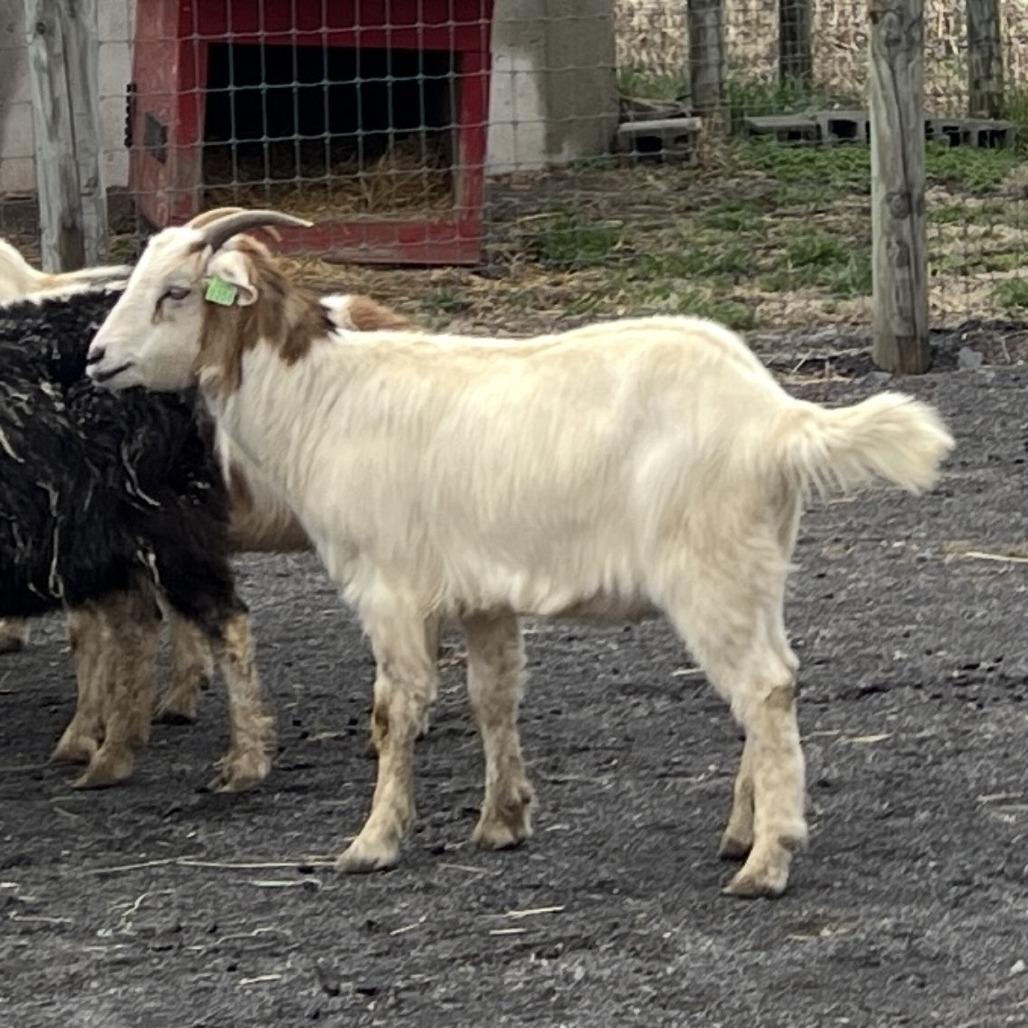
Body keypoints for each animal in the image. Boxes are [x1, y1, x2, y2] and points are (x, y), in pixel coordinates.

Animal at [87, 209, 955, 898]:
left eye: (175, 291)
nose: (96, 358)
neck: (323, 399)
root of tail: (777, 415)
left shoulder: (389, 589)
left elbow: (394, 710)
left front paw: (373, 842)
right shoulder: (481, 593)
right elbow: (493, 698)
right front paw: (503, 821)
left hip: (709, 572)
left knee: (764, 689)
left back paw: (767, 861)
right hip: (756, 566)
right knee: (775, 683)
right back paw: (742, 833)